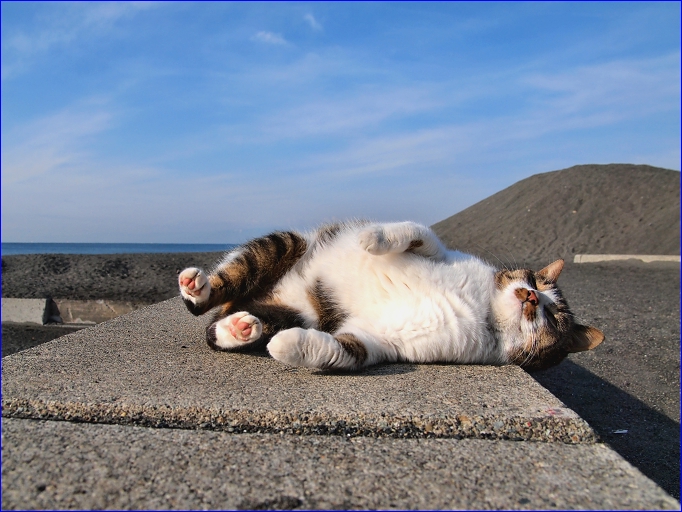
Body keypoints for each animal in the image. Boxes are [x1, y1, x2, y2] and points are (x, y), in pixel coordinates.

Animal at [178, 218, 604, 370]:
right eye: (536, 283)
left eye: (554, 317)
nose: (530, 298)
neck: (483, 307)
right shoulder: (439, 251)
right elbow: (416, 231)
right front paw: (372, 238)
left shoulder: (382, 343)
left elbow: (343, 352)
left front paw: (286, 346)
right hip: (285, 243)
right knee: (215, 295)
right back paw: (198, 287)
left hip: (296, 311)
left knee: (218, 327)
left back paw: (243, 328)